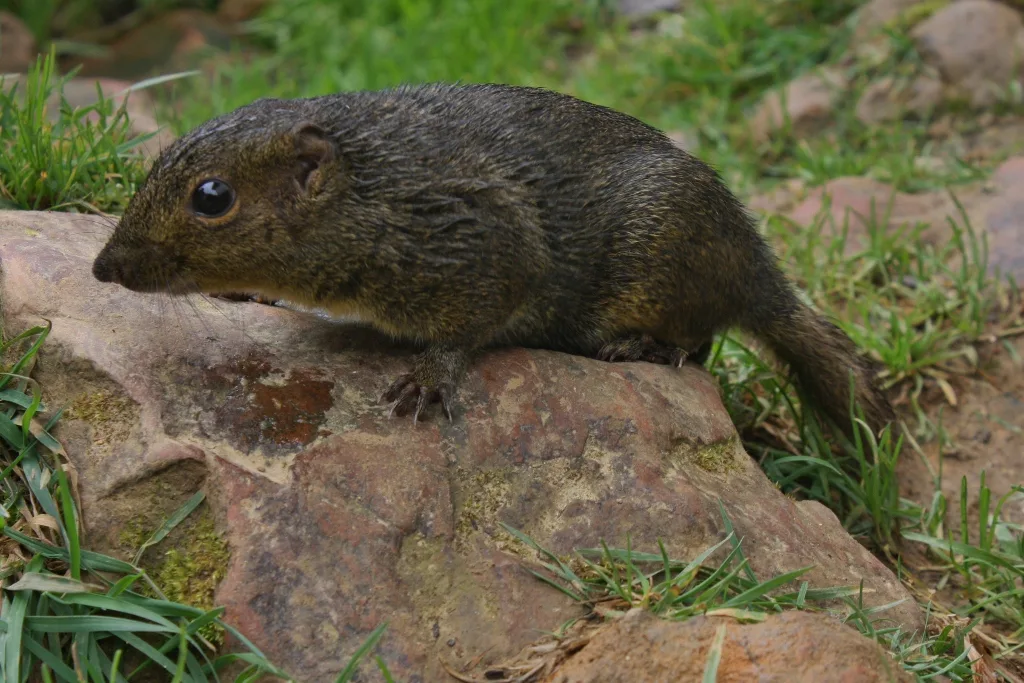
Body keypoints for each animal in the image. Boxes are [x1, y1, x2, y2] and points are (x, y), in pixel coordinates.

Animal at [91, 83, 896, 439]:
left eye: (213, 196)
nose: (103, 268)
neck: (371, 190)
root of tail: (759, 271)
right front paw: (261, 298)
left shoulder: (485, 243)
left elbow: (470, 325)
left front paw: (430, 374)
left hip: (663, 247)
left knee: (702, 339)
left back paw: (645, 347)